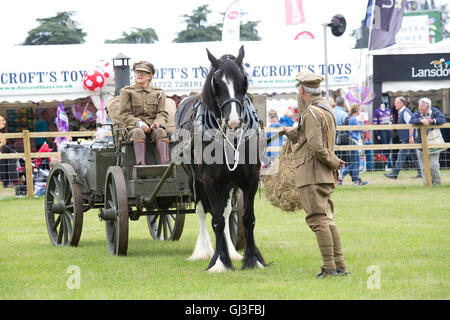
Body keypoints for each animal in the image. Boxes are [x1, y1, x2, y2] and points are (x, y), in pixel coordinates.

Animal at [175, 46, 268, 272]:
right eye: (217, 82)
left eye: (244, 79)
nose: (234, 121)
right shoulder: (210, 181)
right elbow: (215, 220)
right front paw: (219, 261)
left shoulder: (250, 179)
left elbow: (247, 218)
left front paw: (252, 259)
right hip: (195, 182)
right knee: (202, 212)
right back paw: (202, 250)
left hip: (229, 185)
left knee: (227, 213)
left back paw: (232, 251)